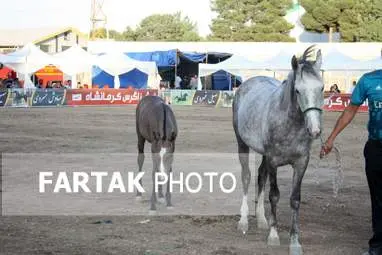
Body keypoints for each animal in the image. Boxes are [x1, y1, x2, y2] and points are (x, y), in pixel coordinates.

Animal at [231, 46, 324, 255]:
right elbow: (274, 195)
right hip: (242, 145)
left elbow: (295, 199)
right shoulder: (273, 160)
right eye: (297, 90)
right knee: (247, 177)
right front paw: (273, 236)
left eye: (322, 88)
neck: (290, 123)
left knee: (260, 176)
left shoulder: (301, 163)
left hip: (264, 155)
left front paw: (295, 242)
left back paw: (262, 219)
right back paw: (243, 221)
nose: (315, 130)